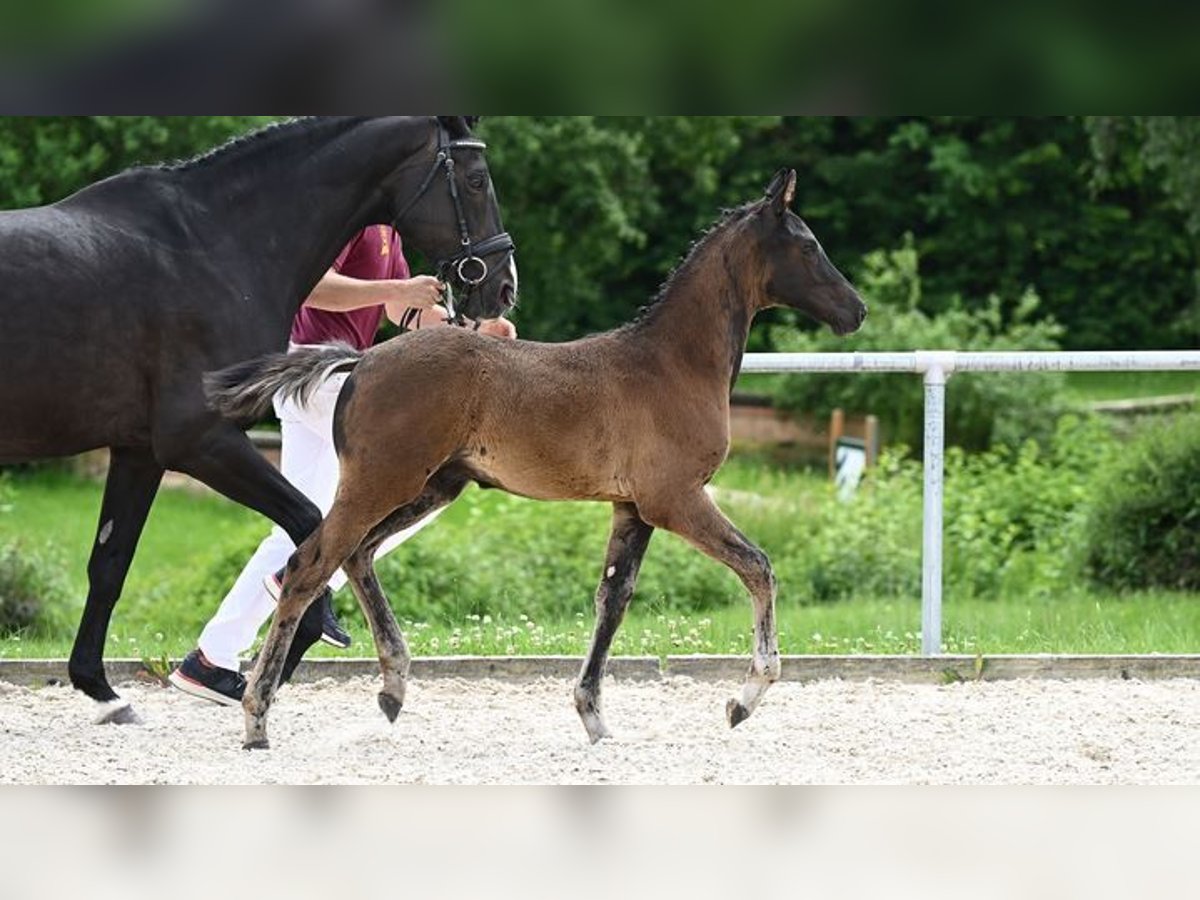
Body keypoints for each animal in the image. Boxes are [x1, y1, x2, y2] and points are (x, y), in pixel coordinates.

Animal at [0, 116, 516, 729]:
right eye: (477, 179)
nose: (504, 285)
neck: (214, 245)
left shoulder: (139, 453)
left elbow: (109, 564)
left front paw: (102, 690)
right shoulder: (201, 440)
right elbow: (308, 527)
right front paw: (283, 660)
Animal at [204, 168, 864, 748]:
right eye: (808, 245)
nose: (855, 310)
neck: (672, 364)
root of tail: (360, 362)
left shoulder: (631, 507)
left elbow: (613, 599)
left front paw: (594, 718)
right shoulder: (675, 498)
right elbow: (757, 566)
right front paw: (743, 699)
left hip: (432, 486)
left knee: (357, 554)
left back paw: (392, 688)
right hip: (380, 482)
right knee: (309, 564)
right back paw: (258, 717)